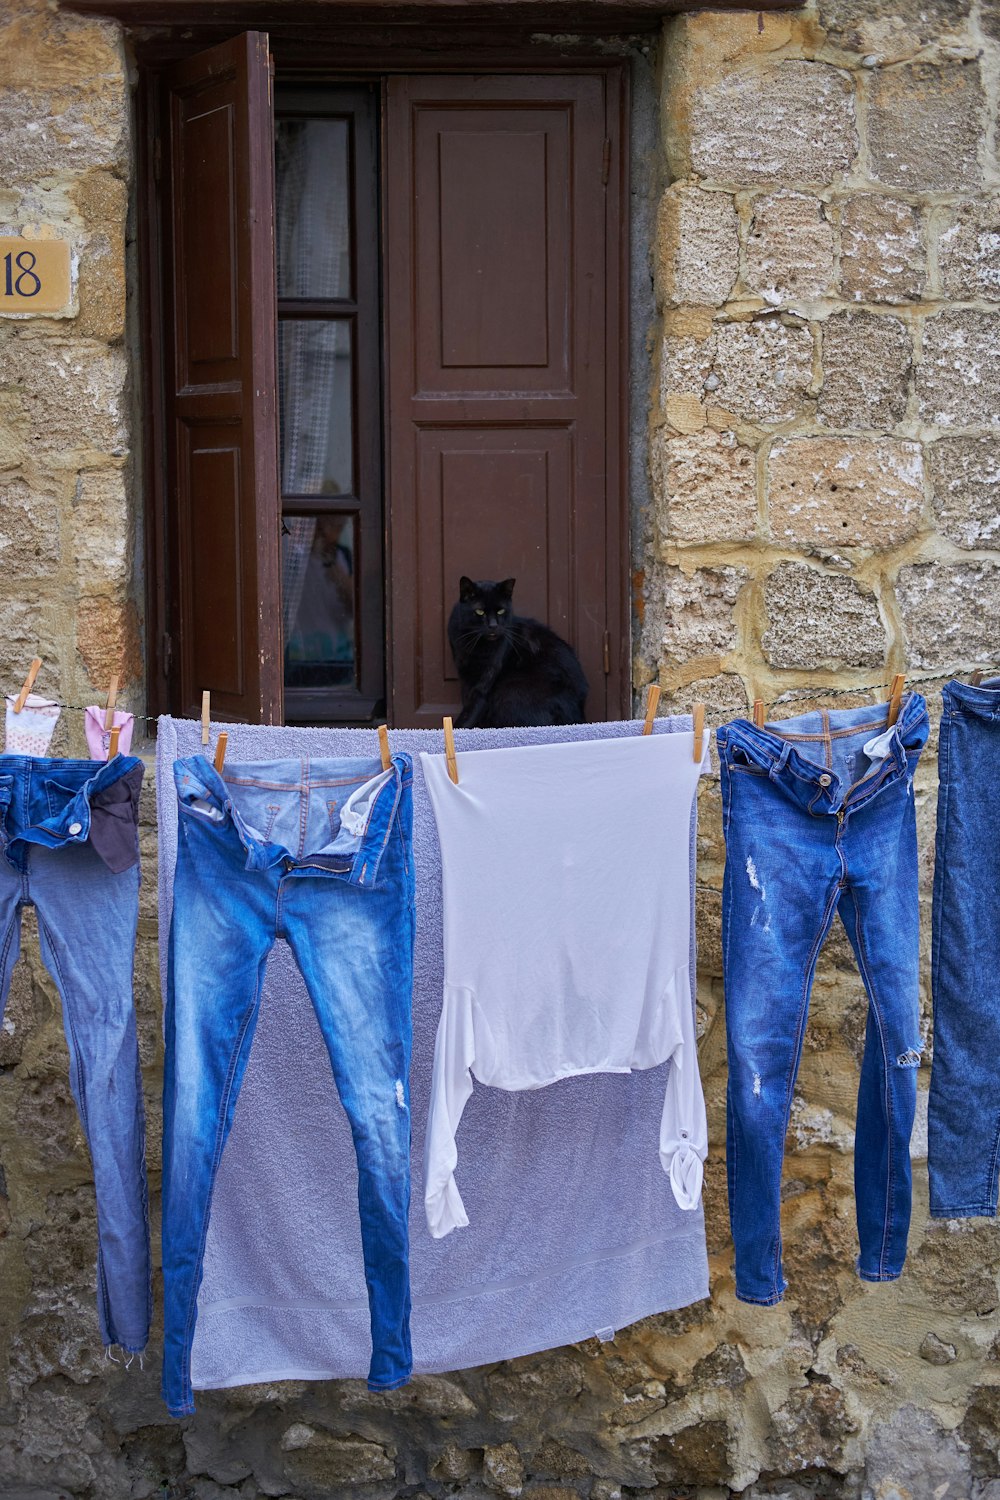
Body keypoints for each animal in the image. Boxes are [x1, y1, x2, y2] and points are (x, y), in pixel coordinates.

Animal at [446, 576, 587, 729]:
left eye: (501, 611)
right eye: (480, 612)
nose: (493, 626)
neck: (476, 645)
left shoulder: (486, 678)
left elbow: (471, 710)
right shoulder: (465, 677)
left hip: (510, 690)